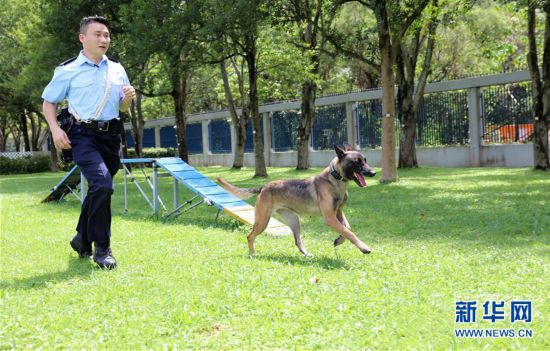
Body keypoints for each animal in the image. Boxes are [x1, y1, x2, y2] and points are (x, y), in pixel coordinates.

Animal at [218, 144, 378, 258]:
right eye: (357, 162)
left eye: (365, 160)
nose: (373, 173)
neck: (335, 180)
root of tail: (264, 186)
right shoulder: (330, 218)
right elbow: (349, 232)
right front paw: (364, 247)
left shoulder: (338, 212)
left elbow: (347, 228)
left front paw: (339, 240)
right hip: (263, 221)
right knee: (249, 236)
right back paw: (252, 254)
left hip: (294, 221)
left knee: (297, 241)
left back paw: (306, 254)